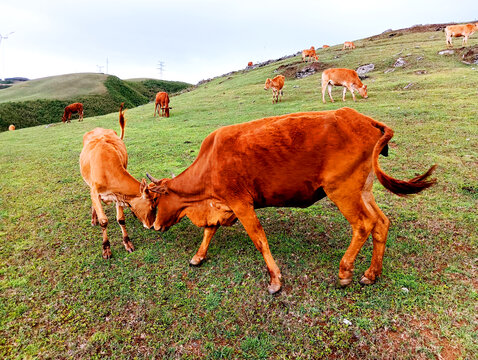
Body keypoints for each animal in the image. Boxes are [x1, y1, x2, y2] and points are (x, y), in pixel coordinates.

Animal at [146, 108, 436, 294]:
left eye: (156, 202)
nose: (155, 226)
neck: (210, 163)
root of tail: (360, 118)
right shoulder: (223, 205)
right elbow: (209, 230)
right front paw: (198, 257)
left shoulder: (240, 202)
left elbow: (259, 239)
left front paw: (275, 280)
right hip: (363, 189)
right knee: (381, 223)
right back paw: (371, 274)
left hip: (342, 190)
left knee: (364, 224)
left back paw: (345, 273)